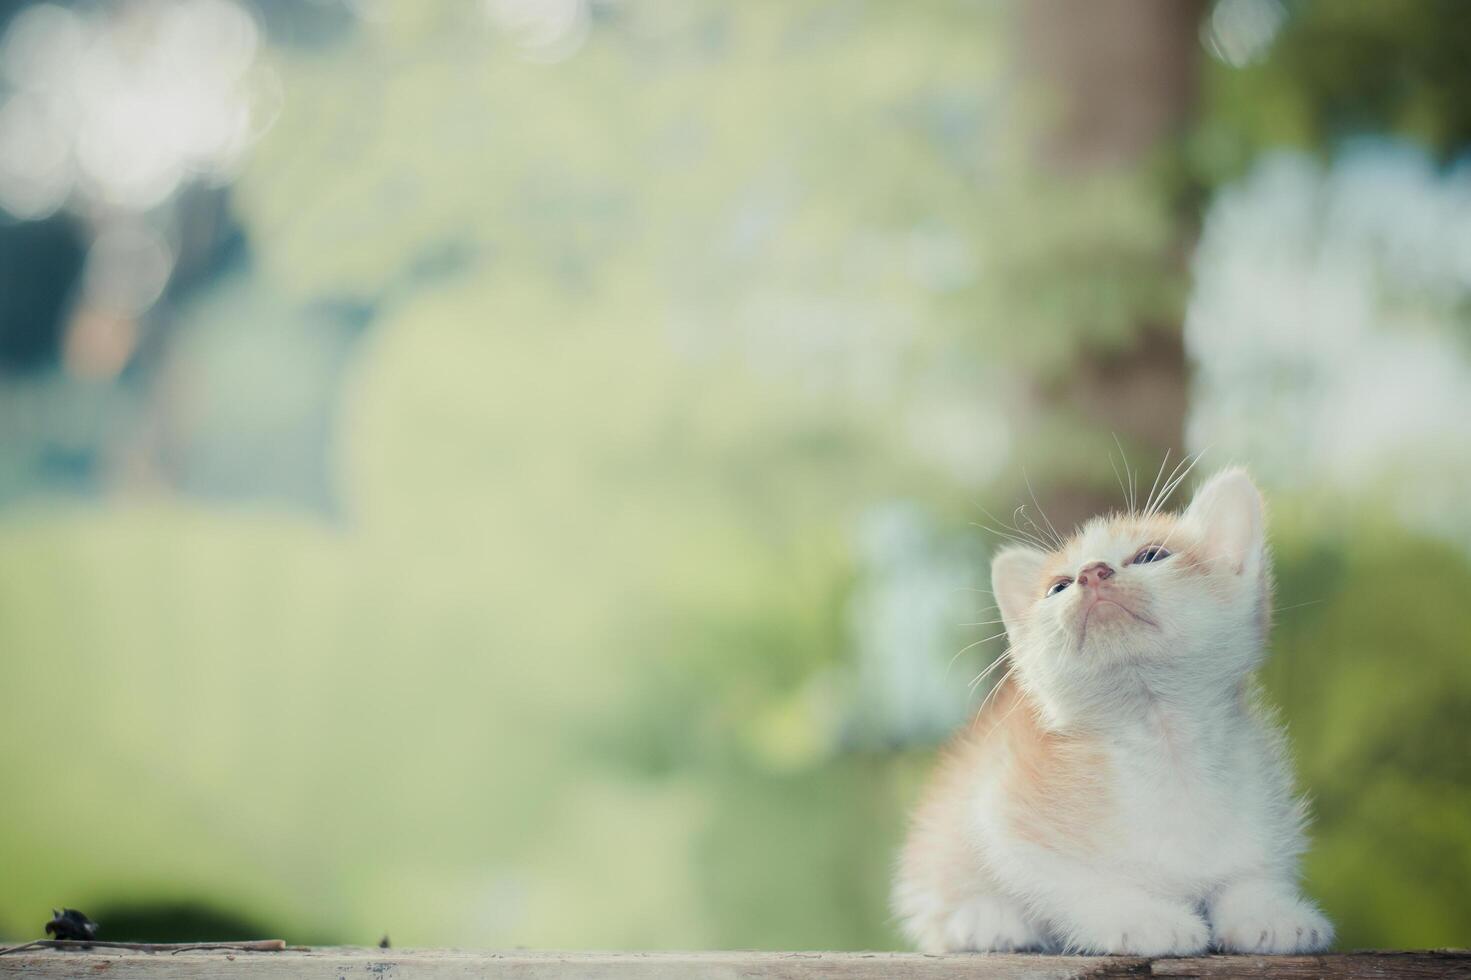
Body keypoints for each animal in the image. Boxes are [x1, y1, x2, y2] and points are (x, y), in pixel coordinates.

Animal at [894, 470, 1335, 947]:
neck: (1161, 739)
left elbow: (1250, 870)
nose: (1092, 573)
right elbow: (1072, 881)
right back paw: (985, 919)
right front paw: (1145, 919)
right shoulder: (1003, 799)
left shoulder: (1260, 794)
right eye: (1058, 587)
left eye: (1151, 555)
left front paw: (1270, 914)